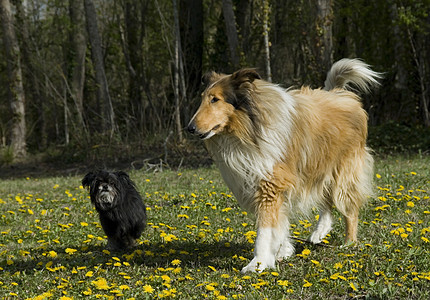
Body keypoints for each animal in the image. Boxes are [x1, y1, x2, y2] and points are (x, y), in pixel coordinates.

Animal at [187, 58, 380, 272]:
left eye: (215, 99)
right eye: (204, 98)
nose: (190, 128)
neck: (248, 130)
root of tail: (338, 93)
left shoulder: (269, 184)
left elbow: (264, 230)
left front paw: (258, 263)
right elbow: (279, 224)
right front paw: (283, 250)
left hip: (343, 172)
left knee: (349, 208)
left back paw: (349, 243)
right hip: (318, 168)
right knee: (326, 202)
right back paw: (319, 232)